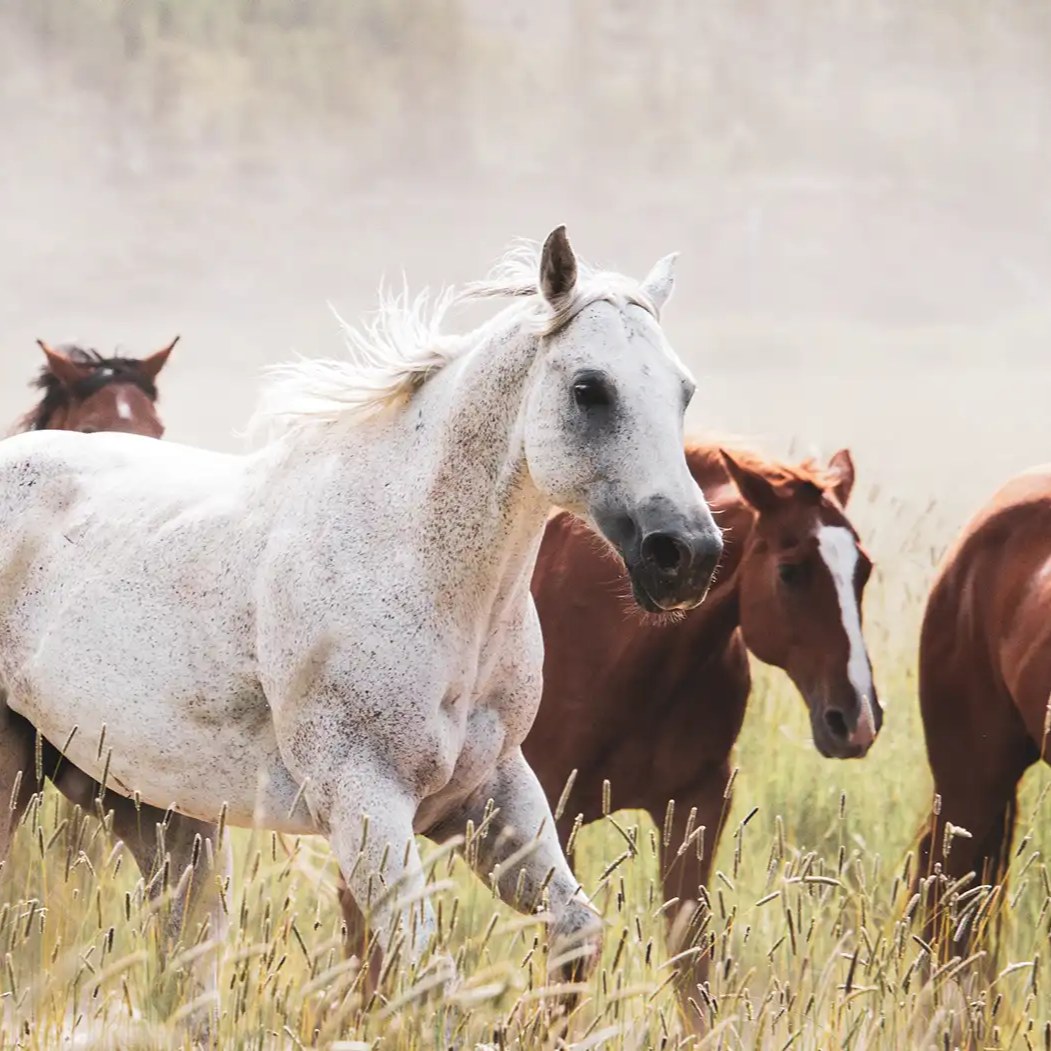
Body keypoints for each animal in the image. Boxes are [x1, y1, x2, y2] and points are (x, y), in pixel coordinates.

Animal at [516, 442, 881, 1014]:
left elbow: (692, 961)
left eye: (862, 569)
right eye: (791, 572)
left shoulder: (697, 805)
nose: (857, 718)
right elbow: (567, 965)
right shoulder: (555, 811)